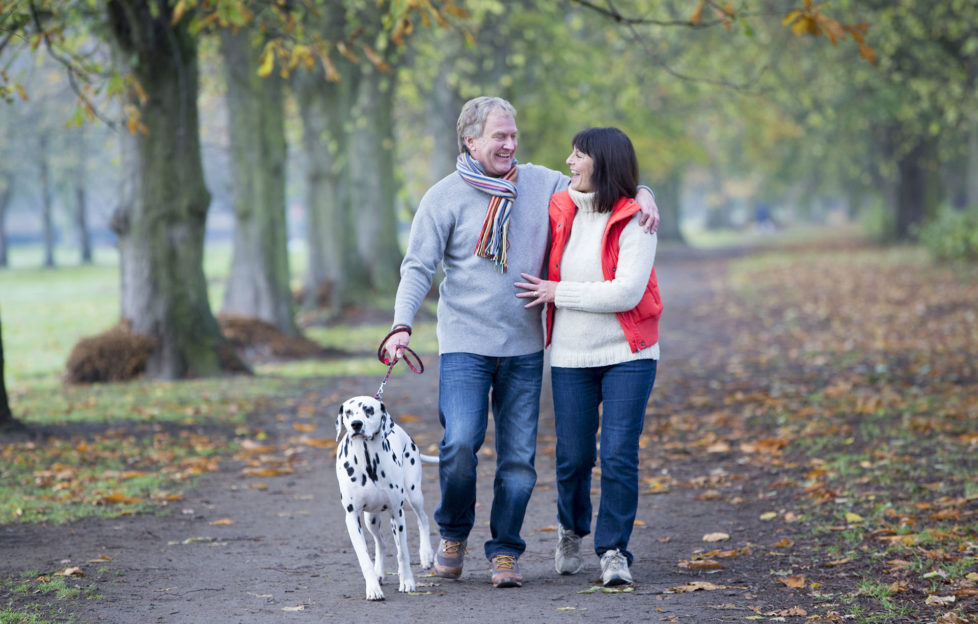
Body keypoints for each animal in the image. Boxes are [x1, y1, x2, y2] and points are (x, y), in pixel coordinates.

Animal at [336, 394, 438, 600]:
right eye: (348, 412)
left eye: (369, 410)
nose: (356, 424)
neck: (367, 461)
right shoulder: (352, 518)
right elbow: (364, 558)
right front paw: (373, 588)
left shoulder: (397, 514)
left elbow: (403, 553)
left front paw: (407, 581)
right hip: (371, 519)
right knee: (381, 543)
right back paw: (379, 574)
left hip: (414, 495)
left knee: (423, 519)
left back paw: (426, 555)